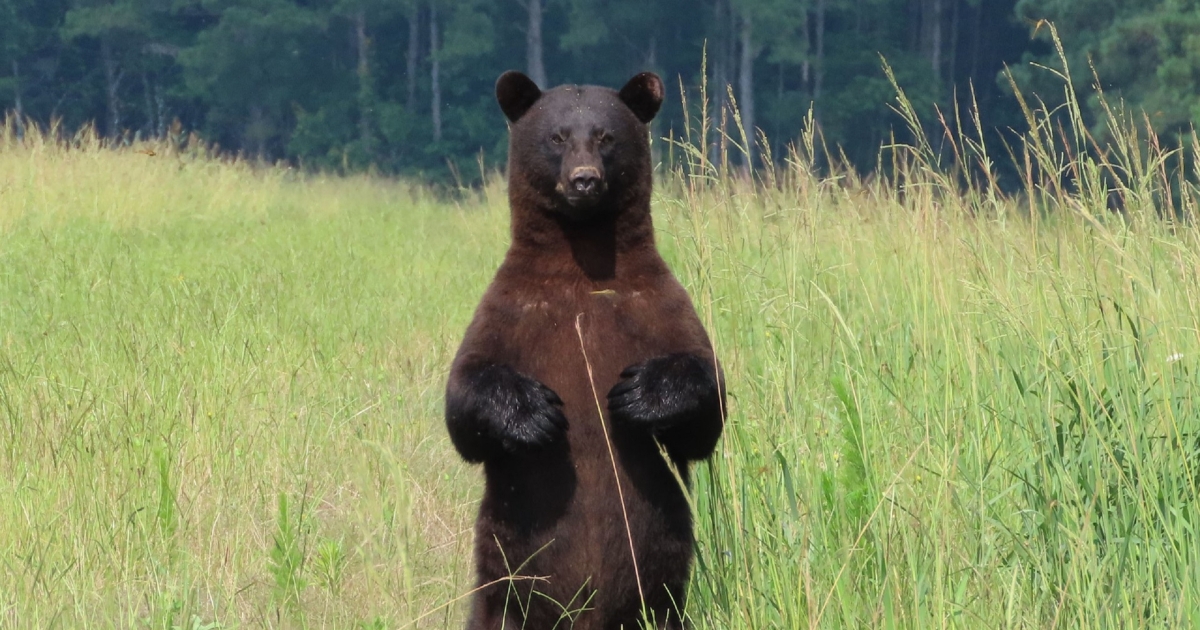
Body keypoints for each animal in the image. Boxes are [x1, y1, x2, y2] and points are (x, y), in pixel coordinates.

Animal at [445, 70, 726, 630]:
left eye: (606, 136)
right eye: (557, 136)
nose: (584, 180)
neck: (582, 262)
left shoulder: (657, 306)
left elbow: (706, 403)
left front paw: (639, 396)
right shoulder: (511, 311)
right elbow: (465, 396)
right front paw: (534, 414)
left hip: (664, 593)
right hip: (503, 585)